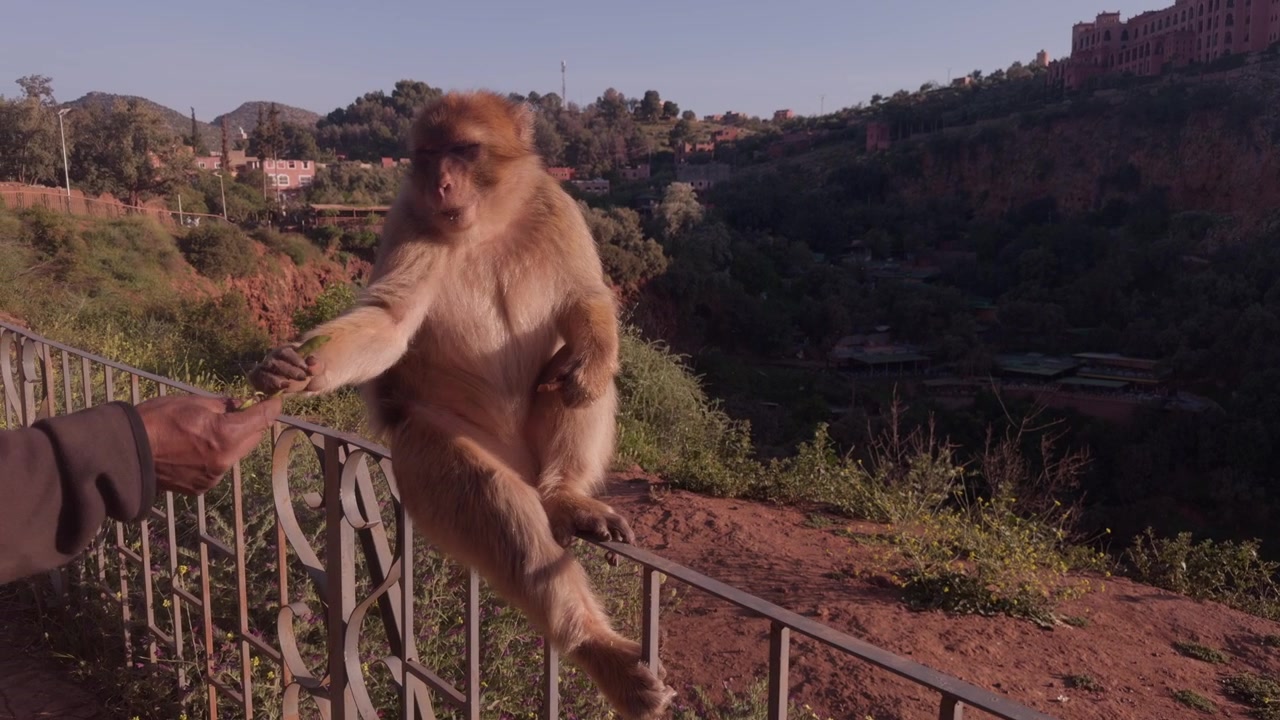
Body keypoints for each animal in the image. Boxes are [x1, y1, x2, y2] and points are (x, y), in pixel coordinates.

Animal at [249, 90, 675, 720]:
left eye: (465, 149)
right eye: (428, 155)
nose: (441, 184)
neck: (487, 224)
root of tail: (526, 466)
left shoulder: (557, 206)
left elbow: (585, 300)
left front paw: (592, 357)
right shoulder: (406, 217)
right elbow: (391, 323)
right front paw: (297, 369)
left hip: (536, 448)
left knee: (569, 374)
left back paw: (567, 494)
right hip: (432, 453)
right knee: (495, 500)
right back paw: (599, 649)